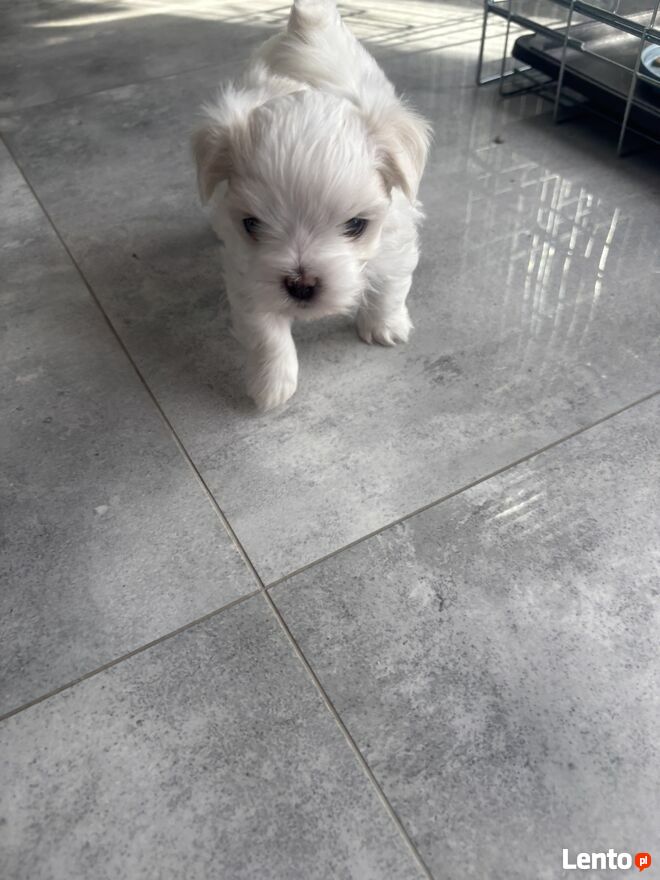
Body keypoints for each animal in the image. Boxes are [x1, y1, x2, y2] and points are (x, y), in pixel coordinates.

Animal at [193, 0, 431, 410]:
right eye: (252, 224)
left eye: (356, 225)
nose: (301, 284)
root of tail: (309, 21)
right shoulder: (247, 269)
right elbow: (264, 327)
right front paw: (272, 384)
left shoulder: (395, 234)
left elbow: (390, 282)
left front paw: (384, 327)